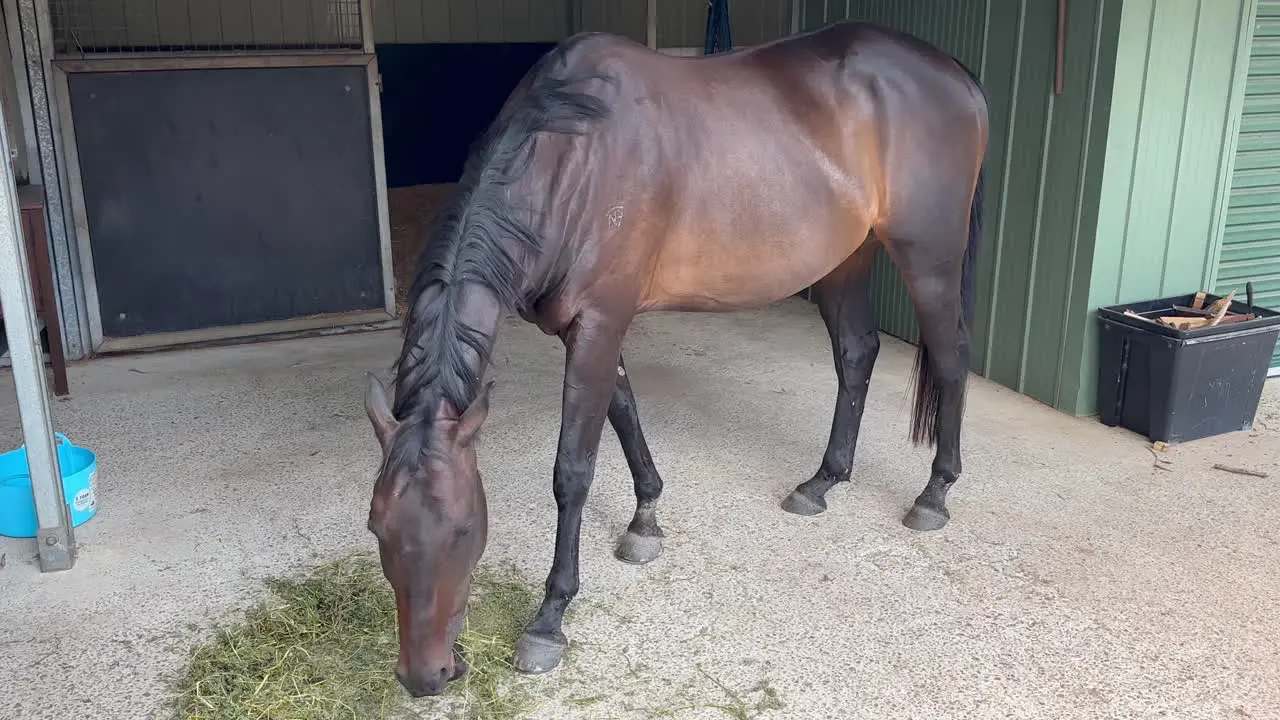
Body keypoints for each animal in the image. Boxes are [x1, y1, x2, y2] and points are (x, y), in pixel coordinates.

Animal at [366, 20, 983, 696]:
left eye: (462, 528)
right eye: (377, 527)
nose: (424, 676)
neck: (573, 156)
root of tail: (955, 73)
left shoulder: (600, 322)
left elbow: (573, 469)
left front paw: (550, 619)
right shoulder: (586, 329)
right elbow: (625, 413)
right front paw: (645, 519)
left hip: (929, 258)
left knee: (950, 360)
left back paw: (934, 495)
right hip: (849, 256)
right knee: (856, 353)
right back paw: (822, 482)